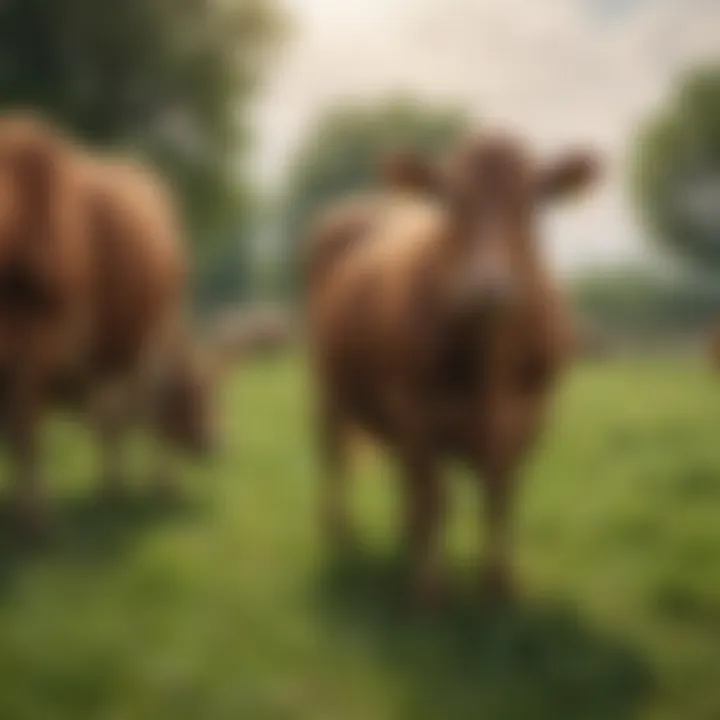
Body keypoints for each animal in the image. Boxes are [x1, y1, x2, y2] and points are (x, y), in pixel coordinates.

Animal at [306, 131, 600, 608]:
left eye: (535, 199)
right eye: (450, 197)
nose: (488, 286)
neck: (491, 370)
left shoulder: (530, 417)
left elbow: (501, 501)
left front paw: (498, 587)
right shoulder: (417, 415)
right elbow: (435, 503)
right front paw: (428, 593)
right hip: (327, 389)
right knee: (335, 458)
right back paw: (340, 533)